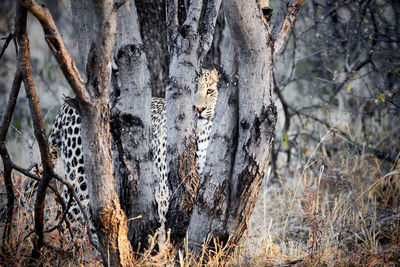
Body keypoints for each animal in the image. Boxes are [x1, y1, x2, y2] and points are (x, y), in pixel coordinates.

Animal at [48, 68, 220, 247]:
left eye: (210, 91)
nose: (199, 109)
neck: (199, 133)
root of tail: (67, 105)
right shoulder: (165, 187)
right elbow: (164, 226)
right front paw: (164, 251)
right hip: (80, 179)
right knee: (70, 216)